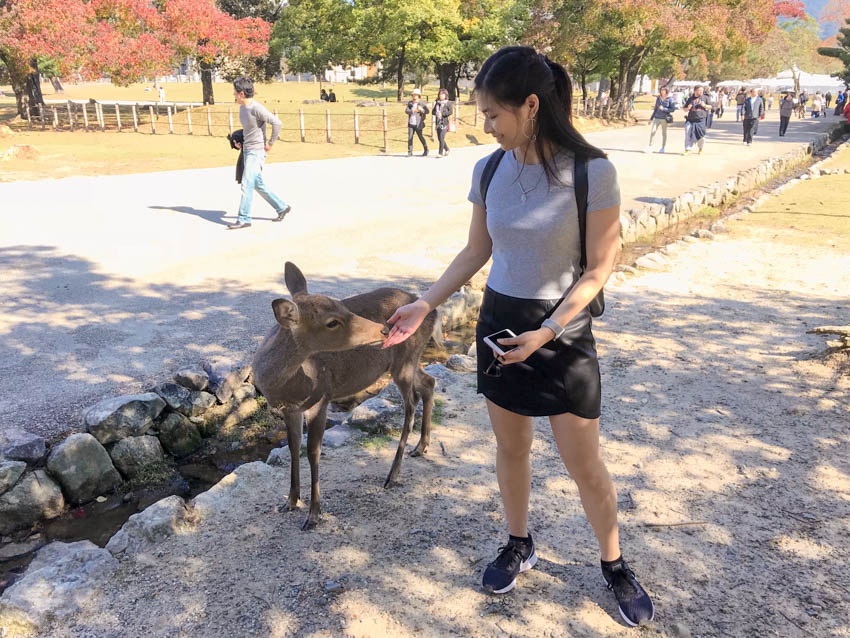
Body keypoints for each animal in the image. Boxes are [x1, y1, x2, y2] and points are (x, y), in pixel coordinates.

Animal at [252, 262, 438, 532]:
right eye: (332, 322)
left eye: (342, 305)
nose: (384, 328)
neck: (286, 385)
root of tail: (434, 312)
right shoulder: (290, 409)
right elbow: (293, 446)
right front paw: (290, 501)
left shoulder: (321, 397)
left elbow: (313, 451)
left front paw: (313, 515)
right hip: (408, 361)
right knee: (429, 383)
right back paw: (421, 446)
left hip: (405, 359)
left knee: (411, 403)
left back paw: (392, 475)